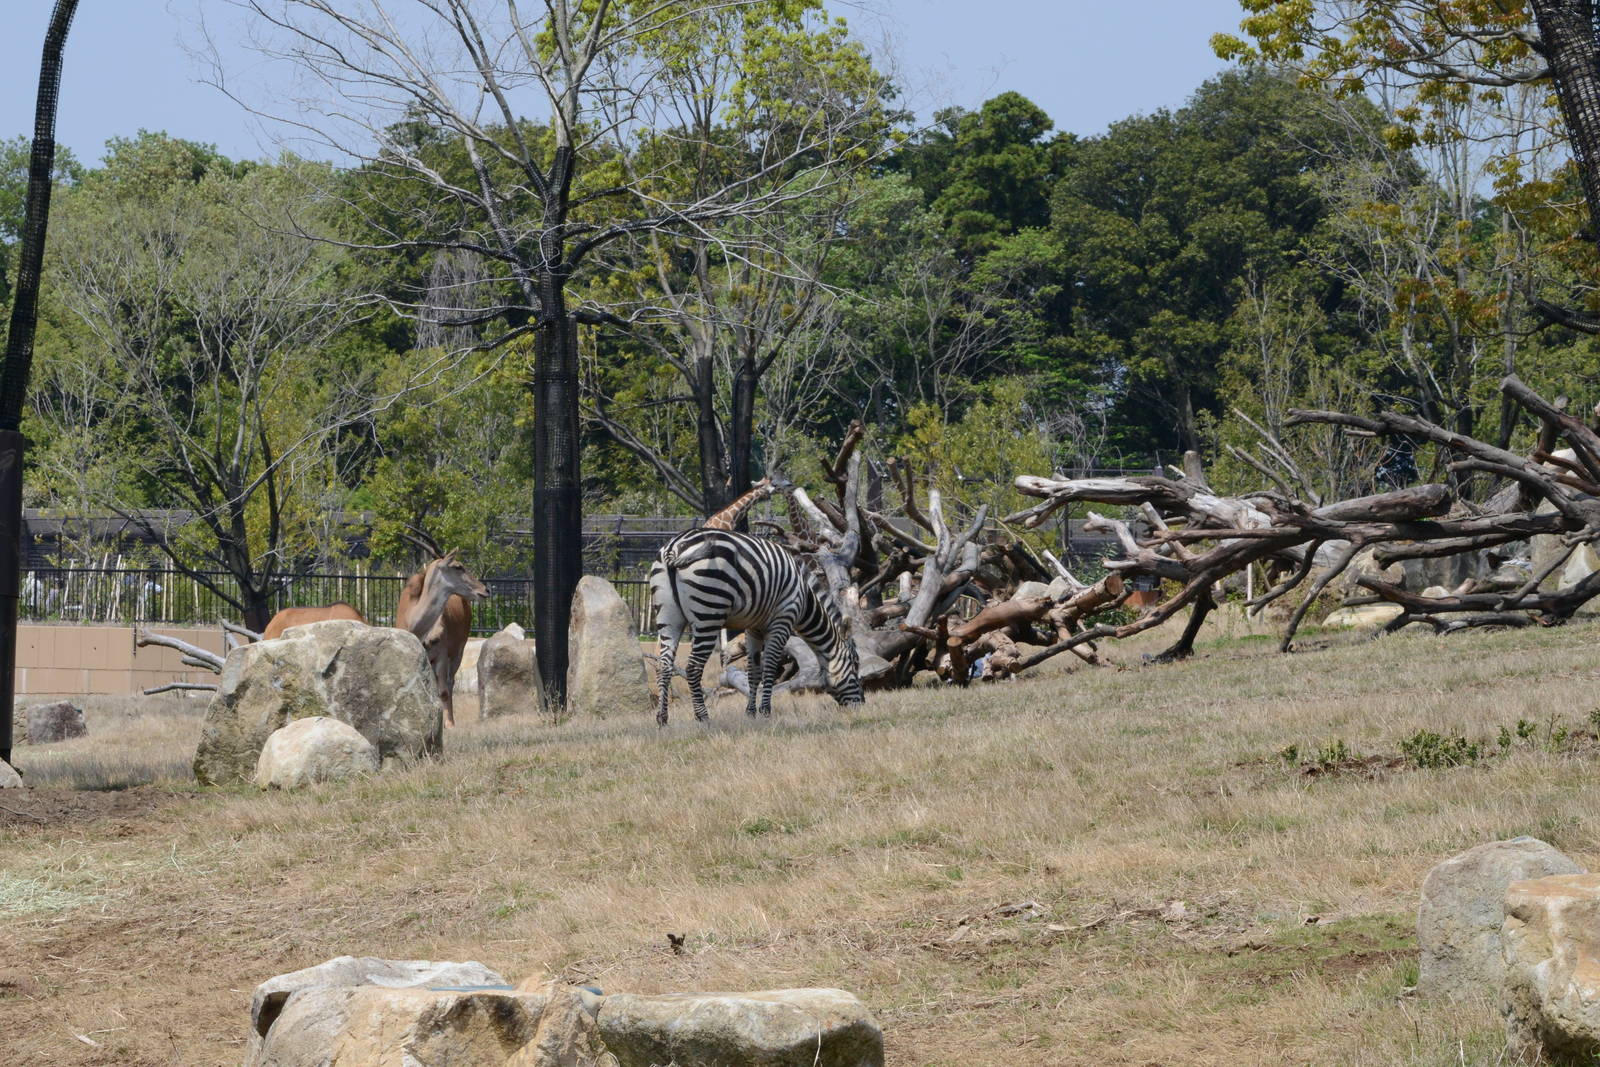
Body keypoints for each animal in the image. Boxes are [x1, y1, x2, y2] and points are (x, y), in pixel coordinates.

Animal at [650, 527, 865, 724]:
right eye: (855, 664)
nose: (862, 704)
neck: (804, 598)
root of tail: (674, 547)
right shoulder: (782, 621)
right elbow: (769, 667)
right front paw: (766, 711)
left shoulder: (753, 628)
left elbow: (753, 671)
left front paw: (751, 713)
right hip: (709, 612)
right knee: (693, 667)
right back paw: (703, 717)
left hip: (668, 617)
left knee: (664, 665)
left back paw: (662, 718)